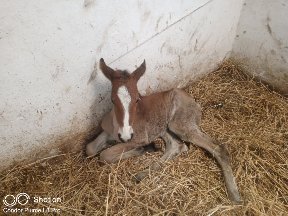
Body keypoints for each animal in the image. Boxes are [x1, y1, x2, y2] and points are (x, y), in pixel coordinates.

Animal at [86, 58, 242, 203]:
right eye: (112, 100)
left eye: (137, 99)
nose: (125, 135)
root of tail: (195, 103)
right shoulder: (107, 132)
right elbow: (90, 149)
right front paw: (143, 149)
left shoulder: (139, 138)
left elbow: (105, 155)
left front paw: (140, 149)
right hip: (164, 127)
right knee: (177, 146)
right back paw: (142, 172)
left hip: (179, 125)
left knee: (218, 148)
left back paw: (234, 195)